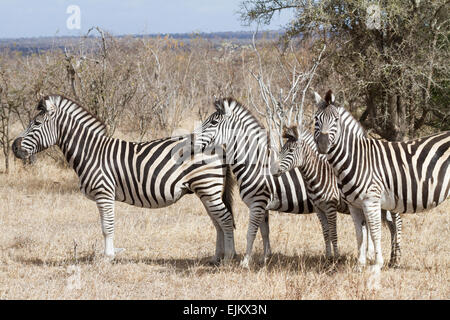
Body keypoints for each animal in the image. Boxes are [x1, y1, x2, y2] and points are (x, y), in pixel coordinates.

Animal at [10, 94, 236, 264]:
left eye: (36, 123)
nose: (14, 147)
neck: (91, 152)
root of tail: (220, 145)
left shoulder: (104, 193)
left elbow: (107, 226)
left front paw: (107, 257)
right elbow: (106, 225)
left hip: (208, 187)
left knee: (225, 219)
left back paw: (229, 257)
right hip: (206, 191)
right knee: (217, 221)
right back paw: (217, 257)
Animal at [268, 125, 402, 268]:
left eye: (291, 150)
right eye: (281, 150)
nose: (274, 171)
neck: (317, 176)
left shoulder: (330, 207)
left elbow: (333, 233)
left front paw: (336, 259)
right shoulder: (319, 209)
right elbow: (326, 233)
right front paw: (328, 258)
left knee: (397, 224)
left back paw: (397, 260)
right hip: (381, 207)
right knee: (392, 227)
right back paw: (392, 259)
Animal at [312, 90, 450, 272]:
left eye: (336, 120)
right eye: (316, 119)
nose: (322, 145)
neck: (357, 159)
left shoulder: (371, 201)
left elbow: (375, 231)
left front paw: (377, 264)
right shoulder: (354, 205)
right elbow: (360, 234)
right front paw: (360, 265)